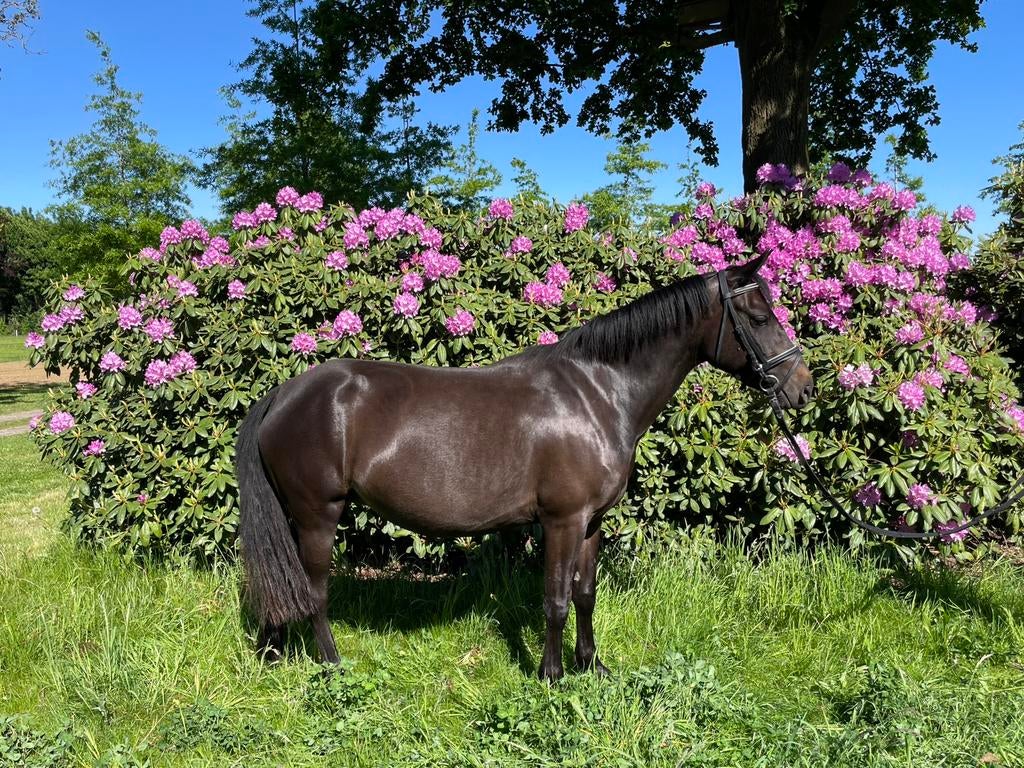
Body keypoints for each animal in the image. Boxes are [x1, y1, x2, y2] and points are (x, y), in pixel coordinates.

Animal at [234, 251, 814, 681]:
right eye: (759, 316)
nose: (803, 388)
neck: (596, 393)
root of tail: (282, 394)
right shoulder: (562, 520)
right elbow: (555, 599)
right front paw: (551, 676)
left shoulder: (591, 523)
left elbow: (585, 594)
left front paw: (592, 667)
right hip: (319, 515)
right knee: (313, 590)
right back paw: (332, 665)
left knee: (282, 583)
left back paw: (271, 654)